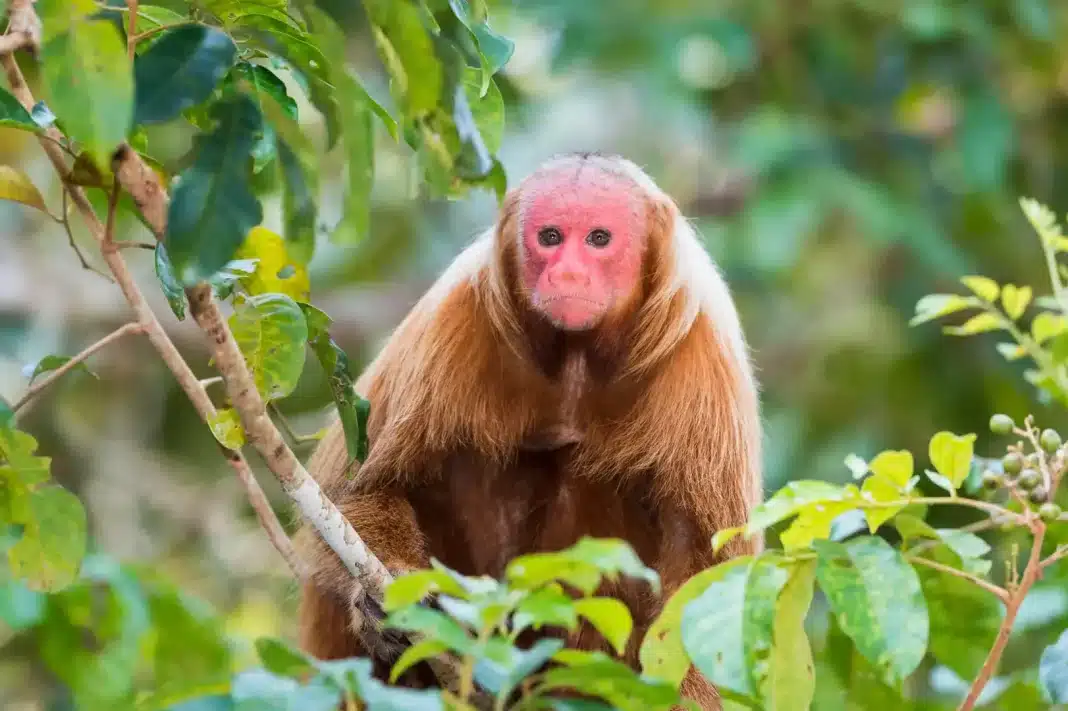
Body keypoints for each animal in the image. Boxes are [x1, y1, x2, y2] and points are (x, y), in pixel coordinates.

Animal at [294, 153, 763, 710]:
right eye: (551, 237)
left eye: (599, 239)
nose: (568, 272)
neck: (577, 357)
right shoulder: (453, 318)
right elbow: (358, 491)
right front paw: (382, 606)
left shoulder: (703, 356)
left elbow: (704, 562)